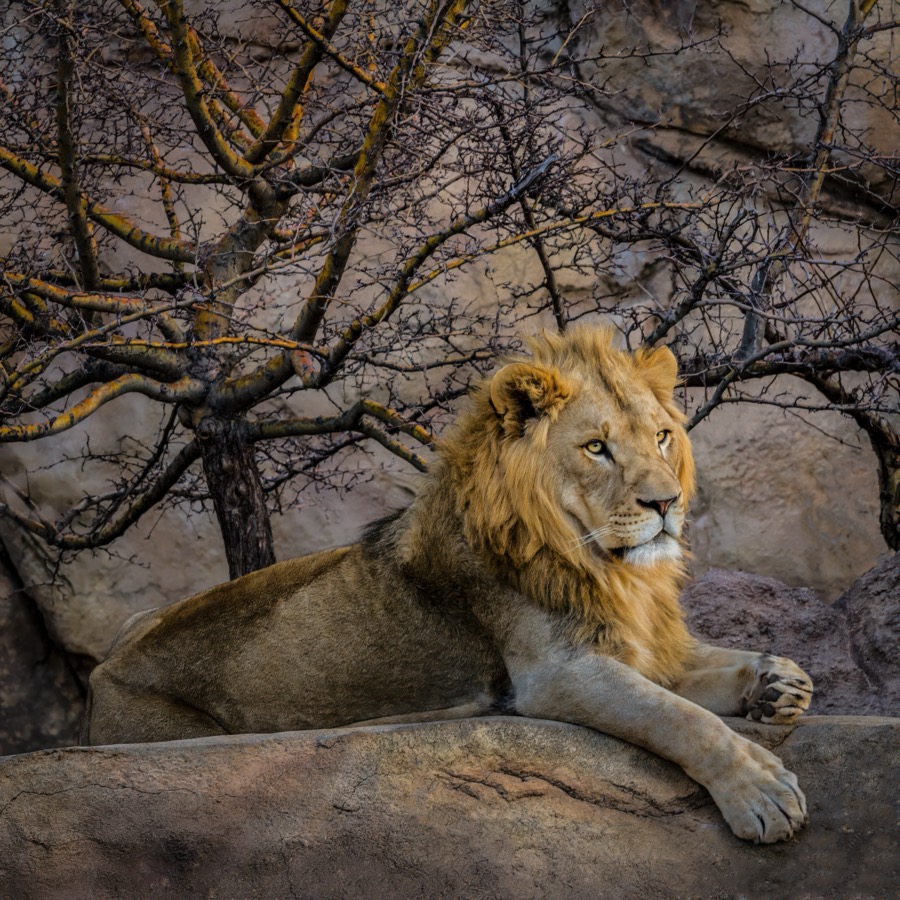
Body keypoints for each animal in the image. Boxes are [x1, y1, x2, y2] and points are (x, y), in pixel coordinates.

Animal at [84, 325, 813, 843]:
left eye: (662, 437)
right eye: (596, 448)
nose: (666, 503)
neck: (612, 570)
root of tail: (101, 669)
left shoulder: (637, 642)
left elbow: (707, 669)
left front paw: (779, 682)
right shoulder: (557, 674)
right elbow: (679, 718)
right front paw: (762, 794)